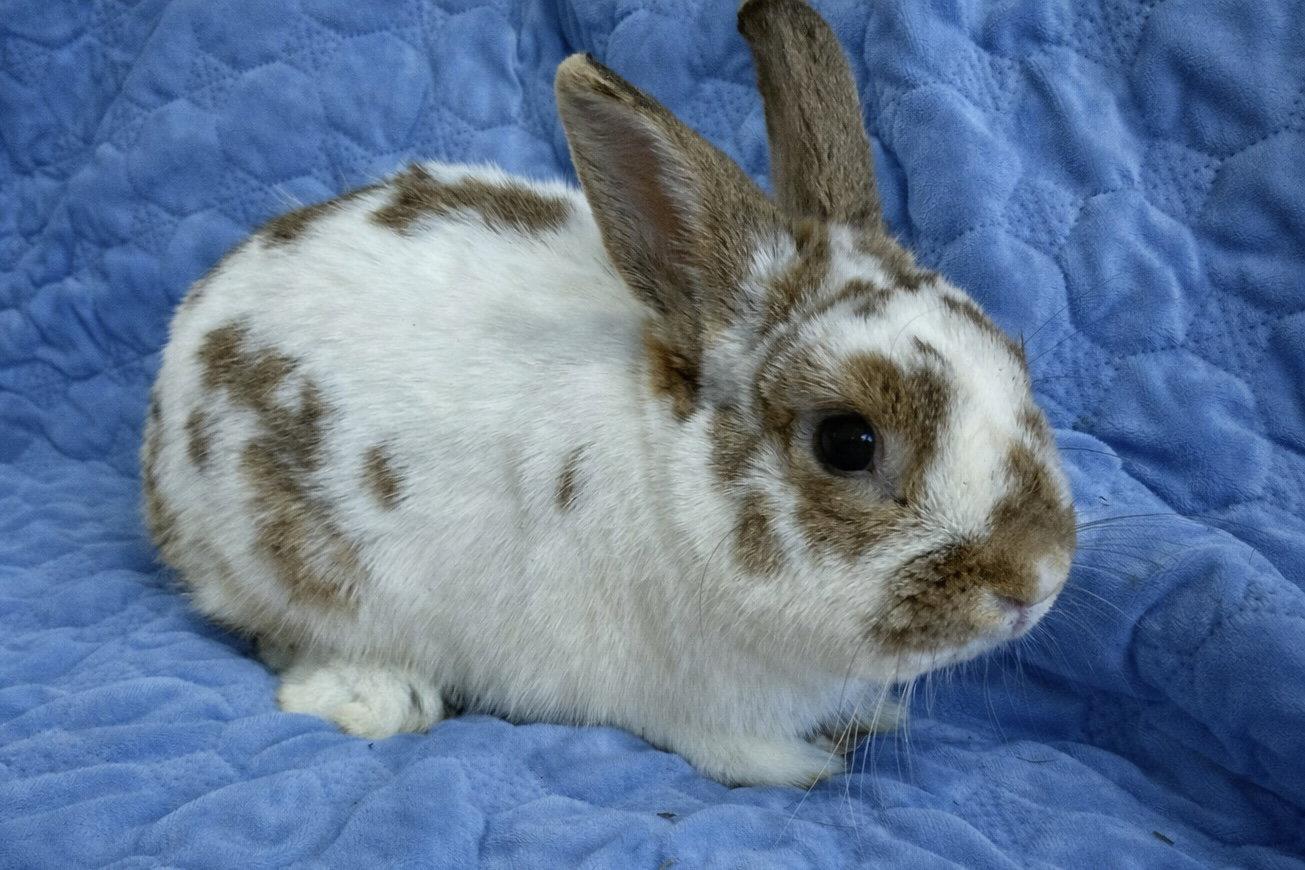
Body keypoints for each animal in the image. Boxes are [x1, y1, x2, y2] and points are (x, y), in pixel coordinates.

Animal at [141, 0, 1076, 787]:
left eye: (1015, 359)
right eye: (847, 441)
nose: (1038, 579)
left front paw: (871, 717)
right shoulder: (690, 703)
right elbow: (734, 749)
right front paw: (803, 767)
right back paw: (378, 699)